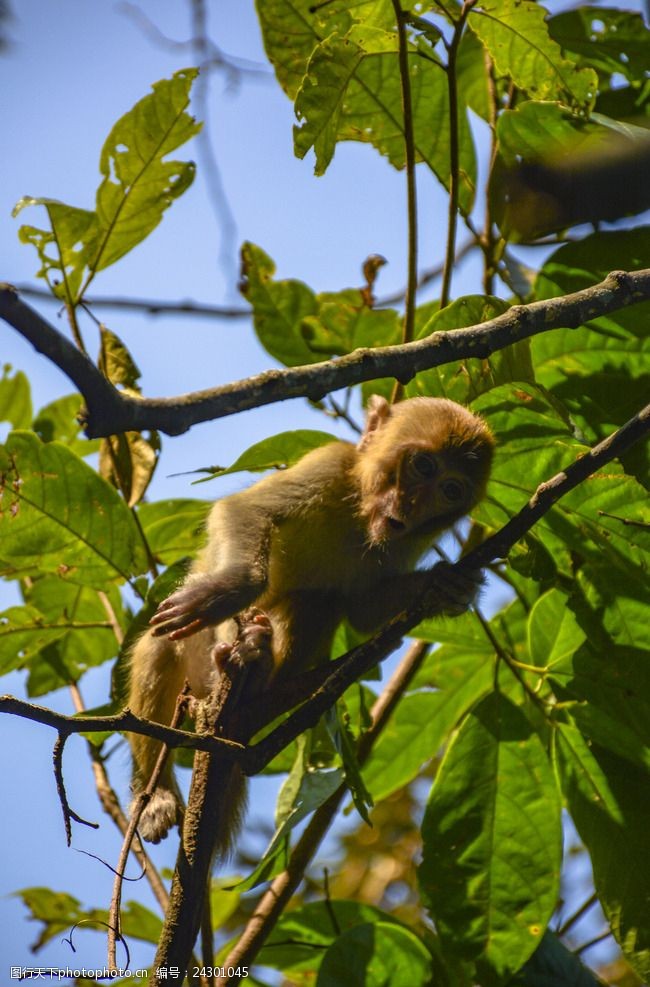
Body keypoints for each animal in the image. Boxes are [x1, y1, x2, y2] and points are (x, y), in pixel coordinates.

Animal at [126, 394, 492, 848]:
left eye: (450, 490)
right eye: (424, 466)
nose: (411, 506)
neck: (359, 513)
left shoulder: (409, 539)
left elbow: (363, 609)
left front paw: (446, 585)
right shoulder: (330, 464)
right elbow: (244, 511)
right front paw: (230, 588)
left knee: (318, 602)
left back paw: (259, 668)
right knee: (160, 644)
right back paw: (157, 793)